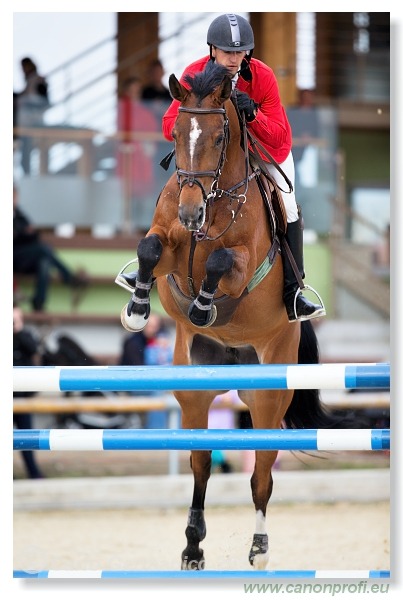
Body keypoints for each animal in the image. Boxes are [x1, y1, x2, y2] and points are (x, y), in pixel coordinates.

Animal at [118, 62, 336, 572]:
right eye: (178, 131)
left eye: (220, 137)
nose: (191, 212)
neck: (214, 198)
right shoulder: (170, 245)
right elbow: (150, 248)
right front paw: (137, 308)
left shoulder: (238, 268)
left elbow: (219, 264)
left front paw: (202, 306)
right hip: (195, 389)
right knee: (200, 462)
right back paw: (192, 548)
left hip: (268, 395)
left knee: (261, 473)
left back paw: (258, 548)